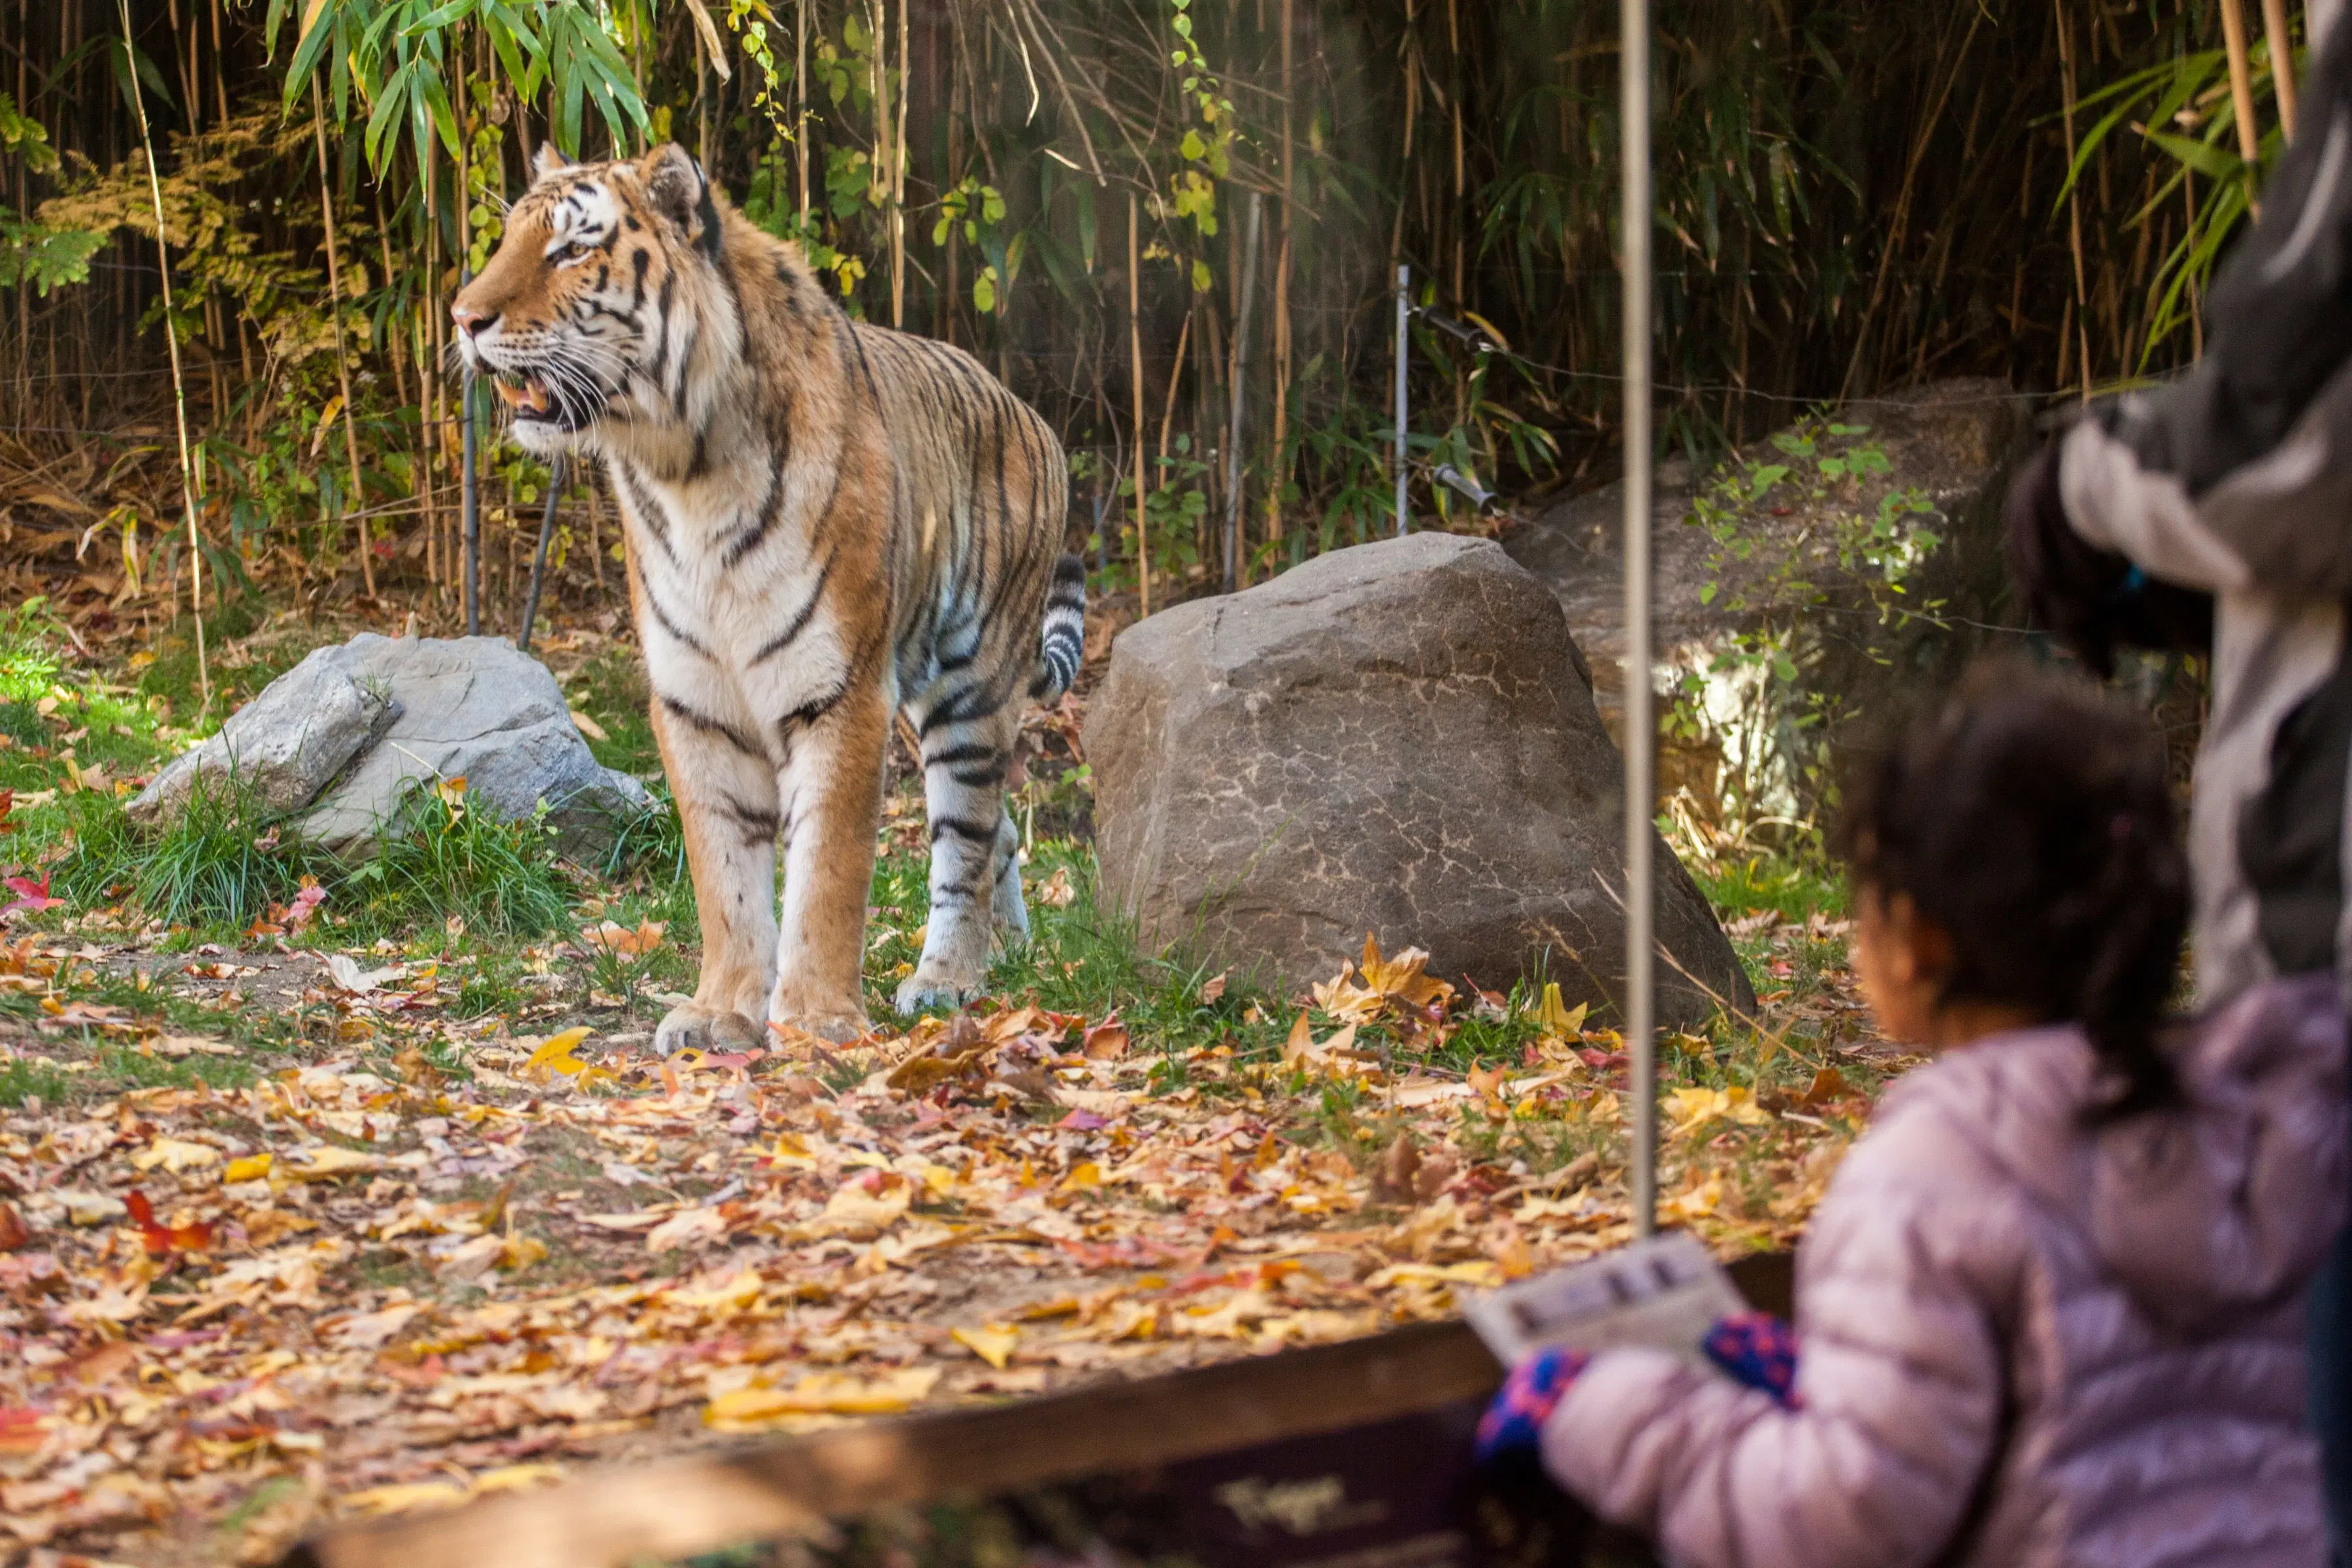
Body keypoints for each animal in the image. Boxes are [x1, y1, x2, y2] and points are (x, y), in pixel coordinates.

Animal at [444, 140, 1077, 1048]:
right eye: (506, 242)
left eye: (569, 249)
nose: (463, 318)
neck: (686, 473)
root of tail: (1032, 414)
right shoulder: (694, 699)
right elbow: (725, 874)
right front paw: (722, 1011)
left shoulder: (842, 690)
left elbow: (828, 871)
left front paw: (816, 1020)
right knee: (1001, 829)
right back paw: (1011, 950)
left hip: (972, 694)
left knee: (967, 834)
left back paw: (948, 979)